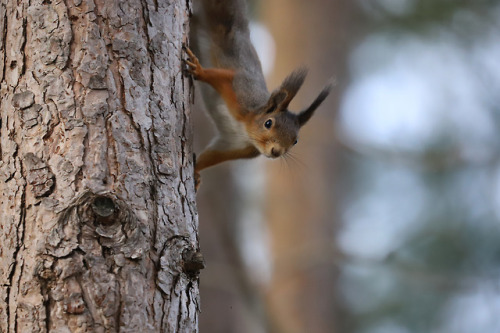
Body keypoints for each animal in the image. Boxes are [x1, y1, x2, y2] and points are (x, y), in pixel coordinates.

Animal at [187, 0, 332, 188]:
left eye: (295, 141)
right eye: (268, 123)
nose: (276, 152)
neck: (246, 128)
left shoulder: (235, 146)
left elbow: (211, 155)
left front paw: (196, 173)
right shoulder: (239, 89)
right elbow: (221, 76)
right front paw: (199, 70)